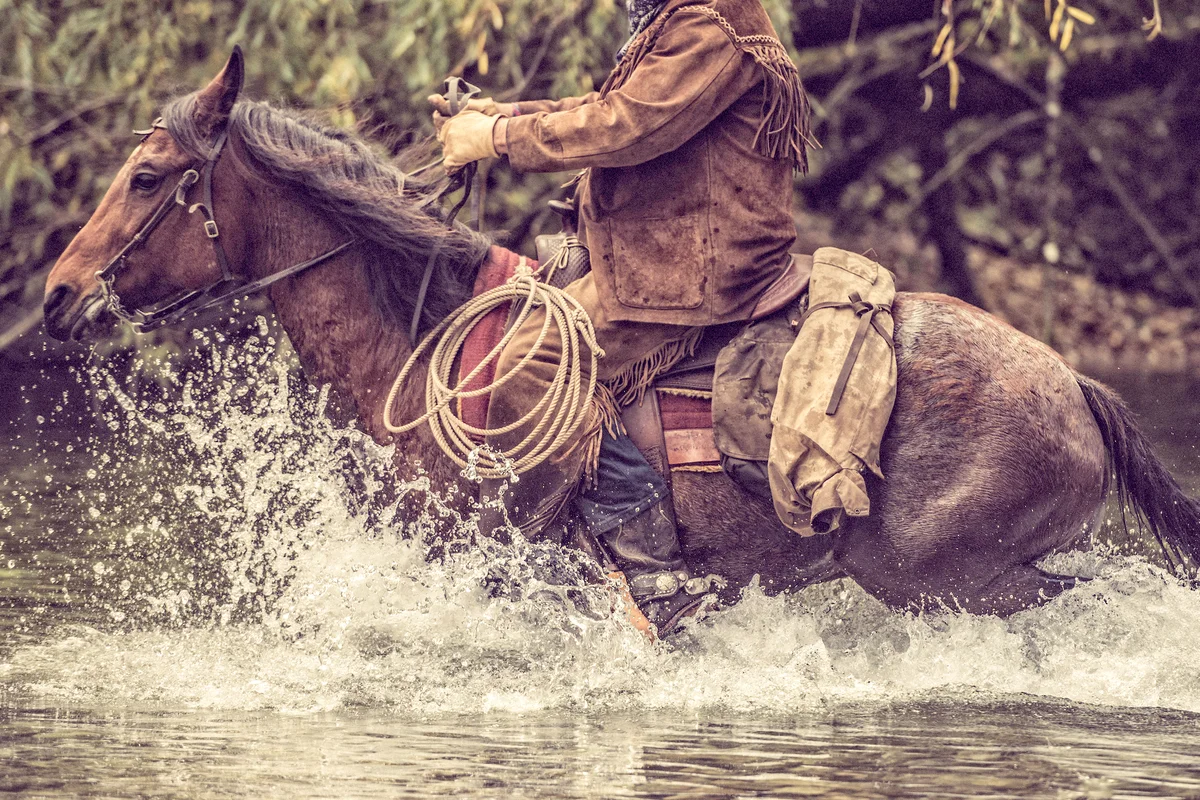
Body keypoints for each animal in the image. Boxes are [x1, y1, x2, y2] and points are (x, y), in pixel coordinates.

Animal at [42, 49, 1200, 621]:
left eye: (147, 177)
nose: (55, 294)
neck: (415, 341)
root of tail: (1079, 386)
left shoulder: (485, 553)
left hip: (947, 573)